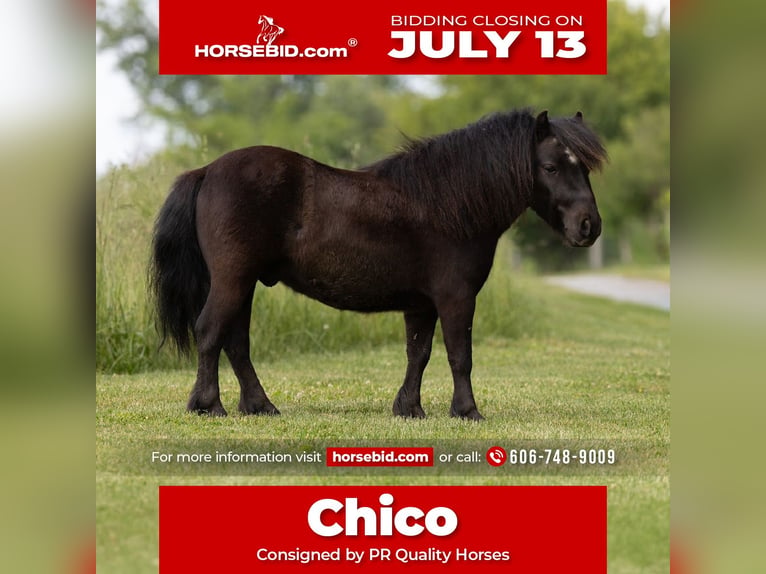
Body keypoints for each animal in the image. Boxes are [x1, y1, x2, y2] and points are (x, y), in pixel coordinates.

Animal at [150, 109, 607, 420]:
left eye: (584, 167)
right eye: (550, 166)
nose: (589, 226)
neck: (448, 204)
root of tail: (208, 171)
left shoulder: (421, 304)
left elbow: (418, 353)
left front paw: (409, 408)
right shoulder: (456, 298)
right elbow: (459, 355)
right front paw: (467, 410)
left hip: (243, 284)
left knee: (236, 342)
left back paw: (259, 405)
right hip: (233, 279)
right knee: (210, 332)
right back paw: (208, 405)